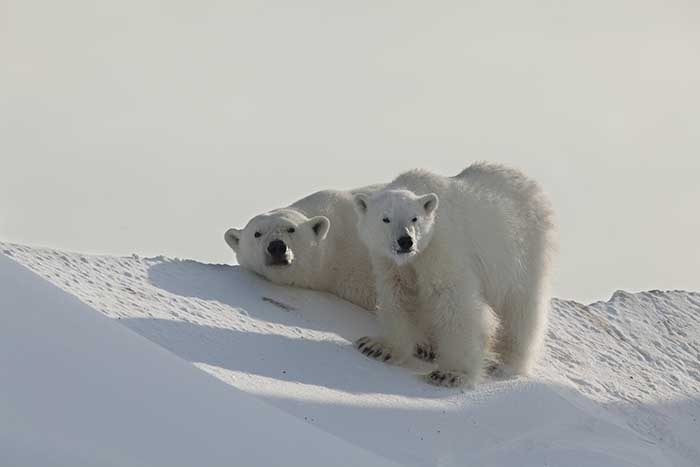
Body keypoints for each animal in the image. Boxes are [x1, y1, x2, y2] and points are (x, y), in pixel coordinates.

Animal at [352, 163, 556, 390]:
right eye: (385, 218)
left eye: (414, 218)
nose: (406, 241)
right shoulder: (389, 261)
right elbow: (398, 293)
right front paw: (377, 348)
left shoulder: (443, 246)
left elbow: (454, 300)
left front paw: (450, 374)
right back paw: (427, 347)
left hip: (524, 251)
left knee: (521, 308)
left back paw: (505, 363)